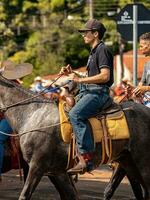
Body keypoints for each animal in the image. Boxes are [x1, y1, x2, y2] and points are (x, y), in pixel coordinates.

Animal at [0, 74, 150, 200]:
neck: (32, 114)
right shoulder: (58, 172)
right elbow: (71, 196)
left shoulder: (37, 166)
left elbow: (25, 195)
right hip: (128, 162)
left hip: (142, 163)